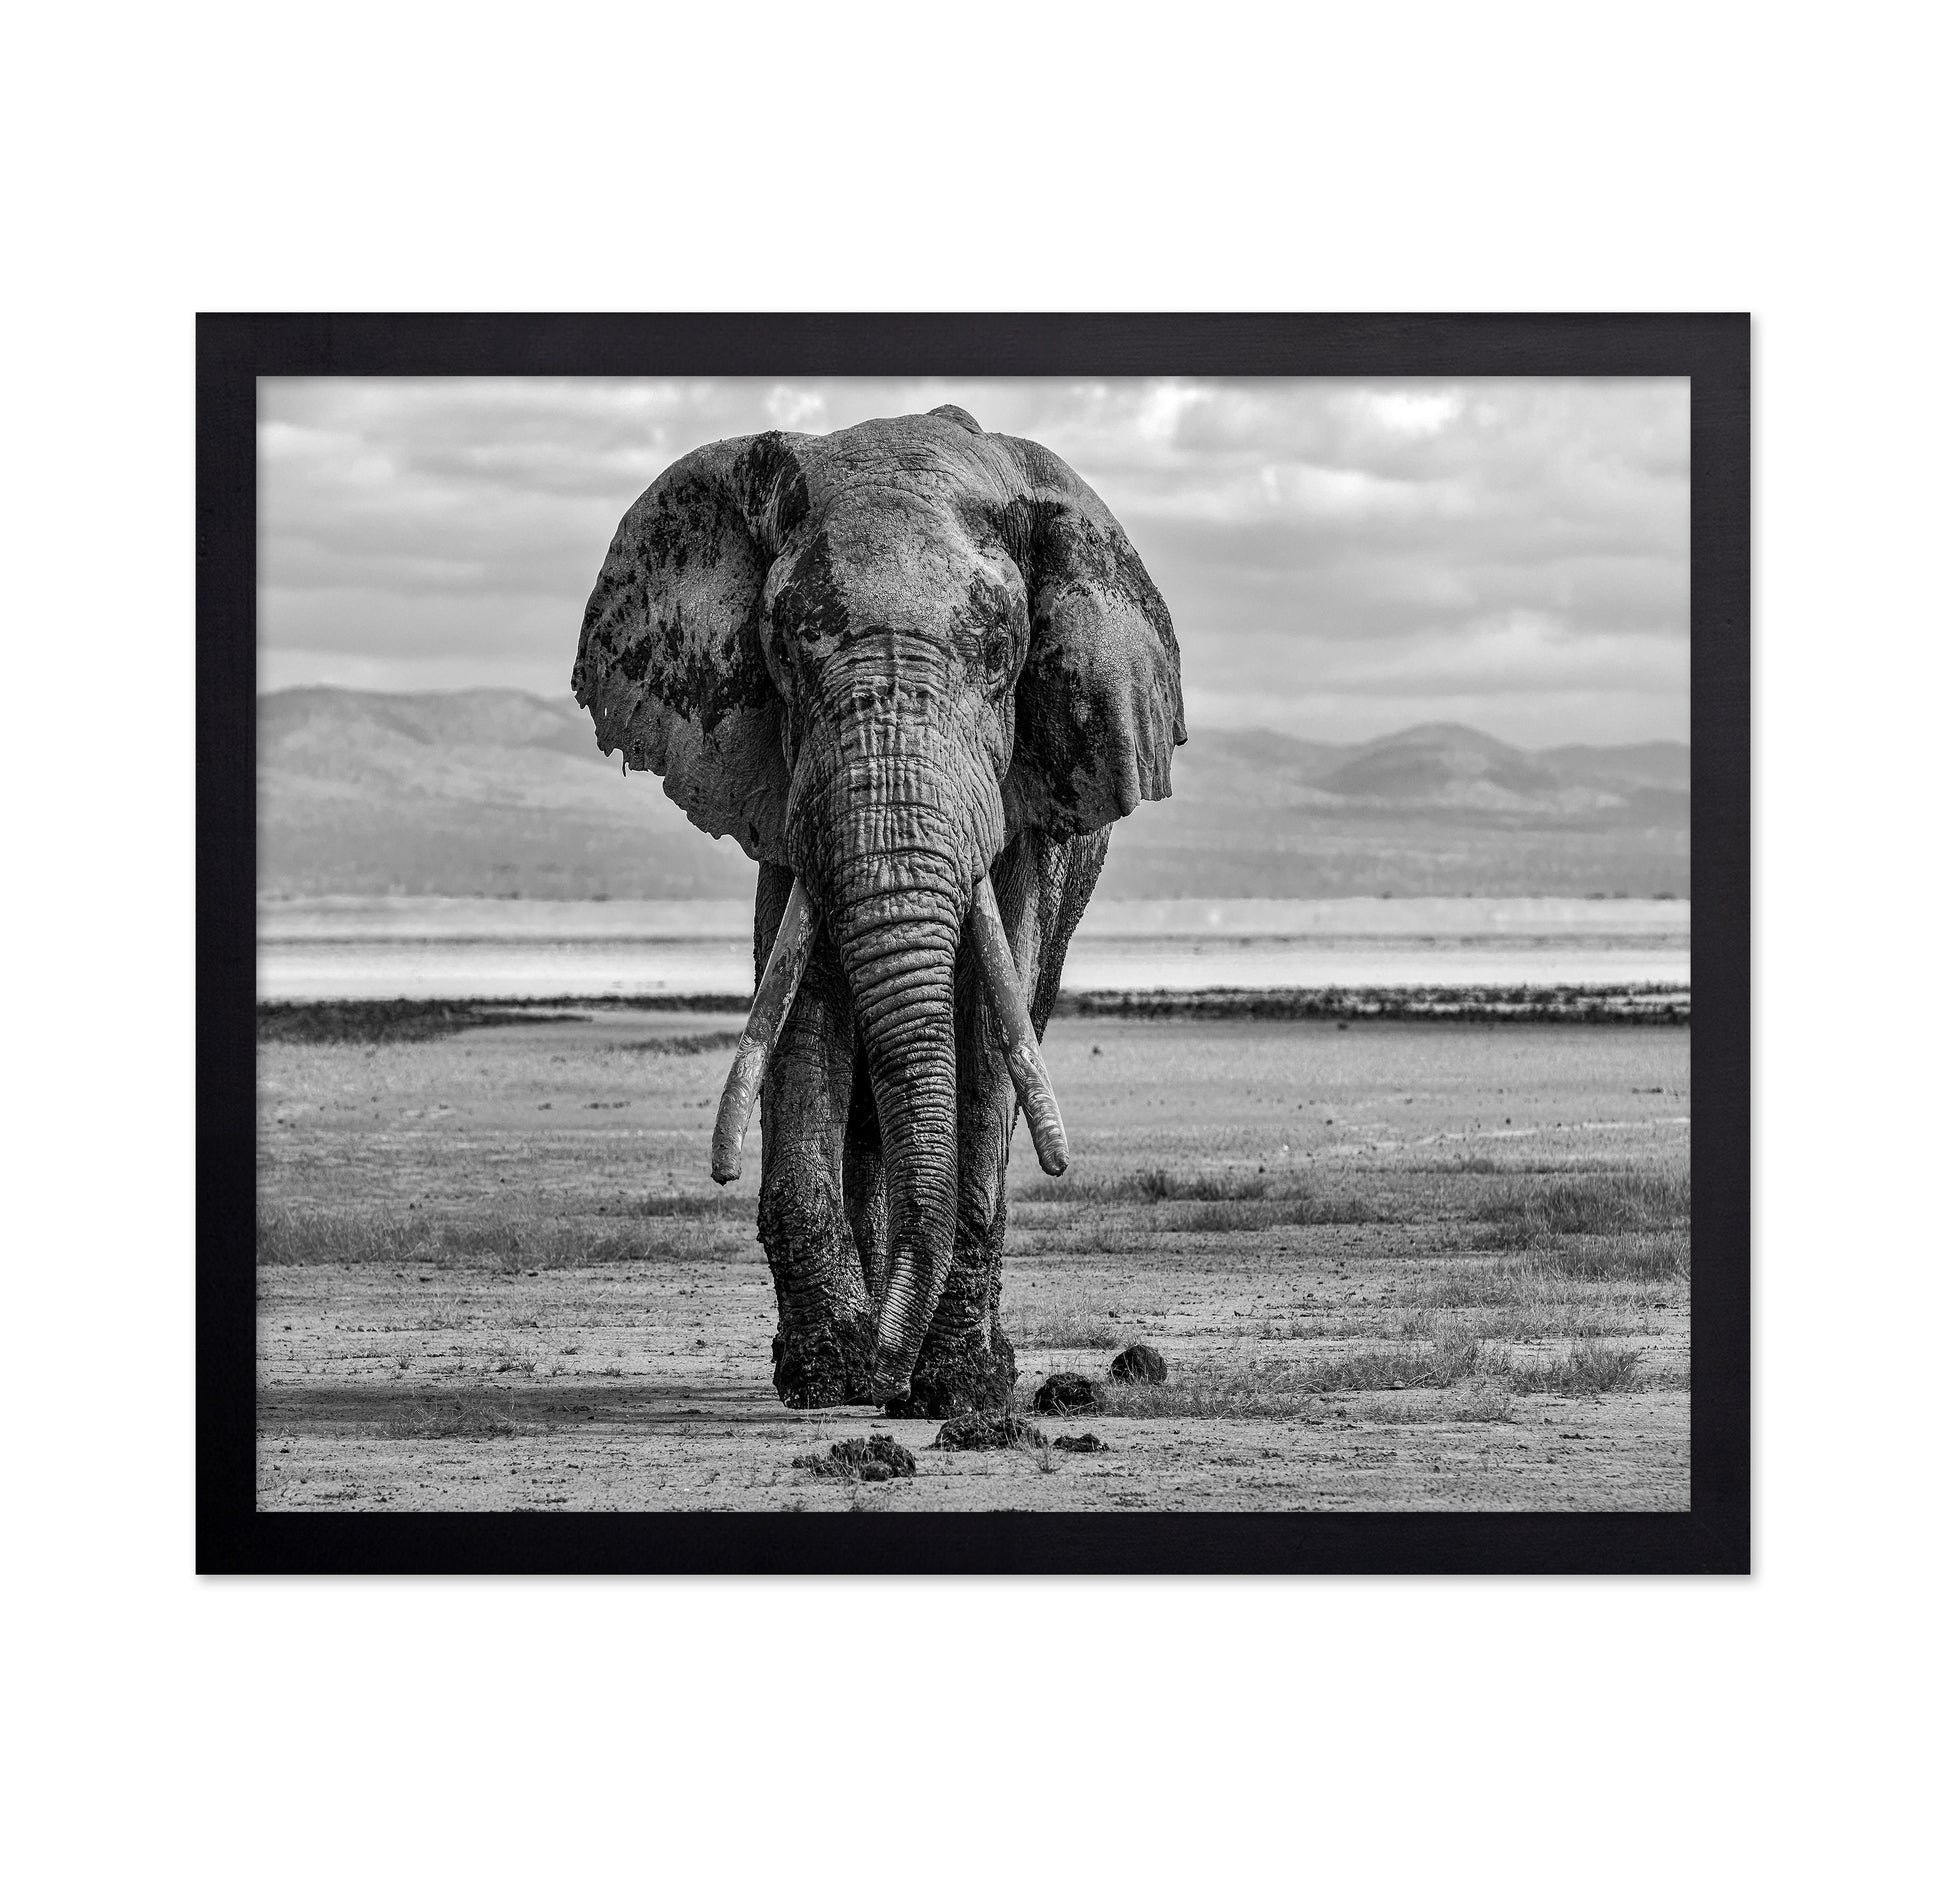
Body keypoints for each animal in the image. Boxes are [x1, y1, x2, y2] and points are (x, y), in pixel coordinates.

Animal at [571, 404, 1184, 1416]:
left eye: (1001, 657)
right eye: (782, 653)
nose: (884, 1378)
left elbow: (988, 1020)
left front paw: (958, 1390)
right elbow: (802, 1007)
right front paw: (827, 1376)